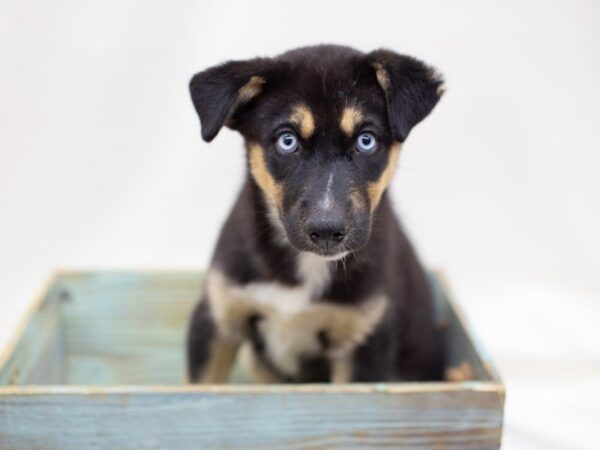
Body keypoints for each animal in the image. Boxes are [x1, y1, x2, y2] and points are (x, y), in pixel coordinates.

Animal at [188, 44, 446, 384]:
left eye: (366, 140)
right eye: (287, 141)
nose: (326, 231)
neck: (305, 267)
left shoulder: (363, 341)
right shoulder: (217, 316)